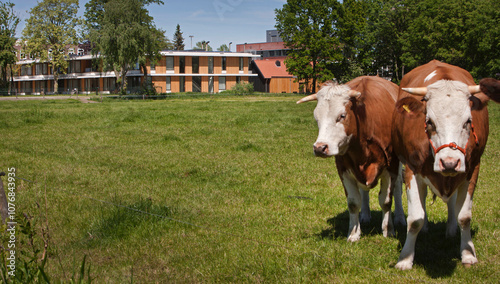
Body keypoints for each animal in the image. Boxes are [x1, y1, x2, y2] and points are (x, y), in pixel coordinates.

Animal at [390, 58, 488, 270]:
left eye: (468, 121)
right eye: (429, 122)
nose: (449, 163)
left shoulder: (473, 168)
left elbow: (464, 216)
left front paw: (468, 253)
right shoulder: (411, 169)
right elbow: (415, 219)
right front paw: (405, 258)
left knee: (452, 202)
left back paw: (451, 230)